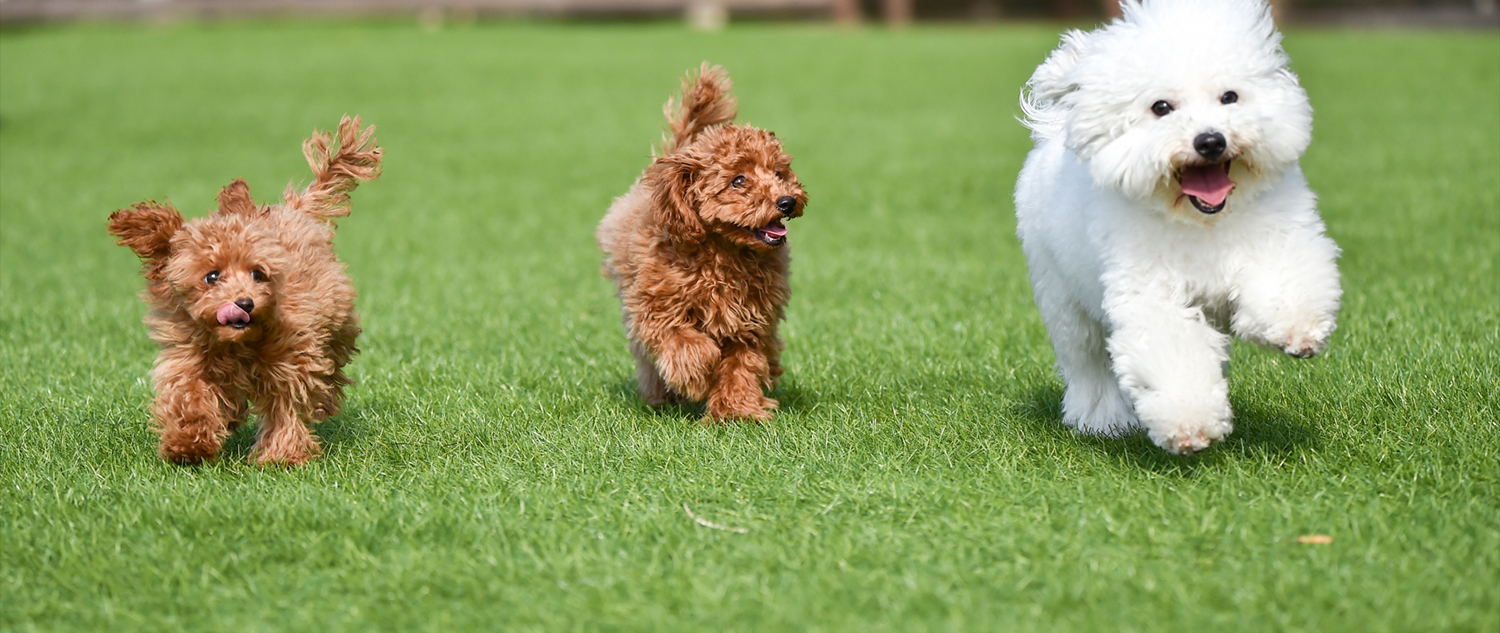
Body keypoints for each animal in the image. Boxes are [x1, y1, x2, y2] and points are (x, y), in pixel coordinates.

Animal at [1014, 0, 1344, 456]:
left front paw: (1297, 329)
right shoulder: (1151, 294)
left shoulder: (1278, 236)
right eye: (1161, 107)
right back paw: (1103, 420)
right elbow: (1172, 349)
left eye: (1229, 97)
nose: (1211, 141)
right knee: (1088, 363)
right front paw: (1190, 423)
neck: (1202, 218)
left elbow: (1285, 278)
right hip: (1063, 298)